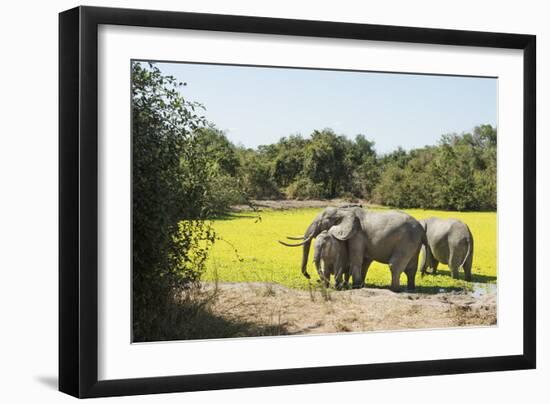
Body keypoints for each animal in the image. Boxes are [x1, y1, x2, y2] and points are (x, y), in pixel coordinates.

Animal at [280, 207, 426, 292]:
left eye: (322, 221)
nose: (308, 276)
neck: (343, 211)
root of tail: (421, 228)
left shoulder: (356, 234)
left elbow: (356, 258)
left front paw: (355, 286)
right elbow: (365, 261)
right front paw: (360, 285)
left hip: (406, 241)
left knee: (394, 265)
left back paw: (394, 290)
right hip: (413, 243)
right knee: (411, 268)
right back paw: (410, 289)